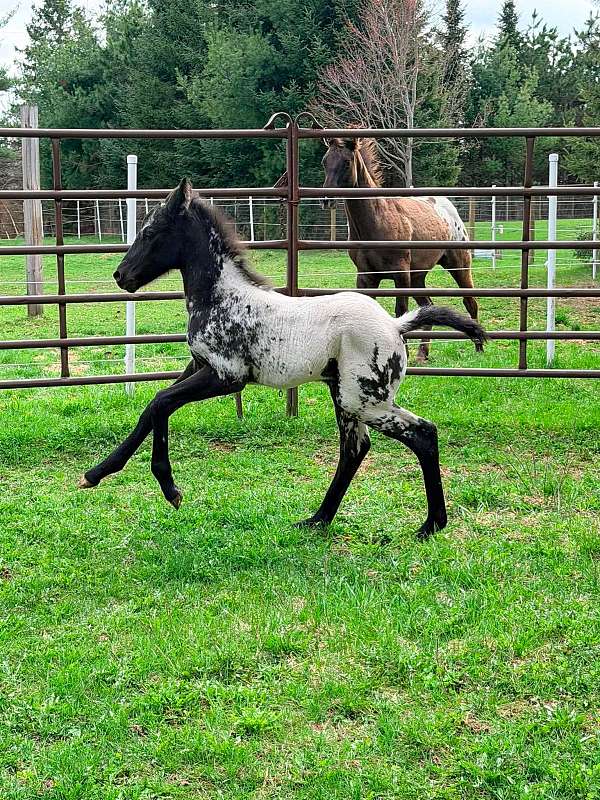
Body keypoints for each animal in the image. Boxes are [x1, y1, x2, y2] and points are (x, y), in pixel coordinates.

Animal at [79, 178, 486, 539]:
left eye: (150, 232)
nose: (121, 275)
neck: (222, 298)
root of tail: (395, 325)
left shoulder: (226, 376)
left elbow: (161, 403)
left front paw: (170, 489)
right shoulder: (198, 366)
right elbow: (151, 409)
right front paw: (96, 474)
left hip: (365, 400)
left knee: (422, 434)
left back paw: (430, 525)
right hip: (347, 397)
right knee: (355, 449)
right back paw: (317, 520)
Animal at [321, 136, 479, 362]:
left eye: (346, 162)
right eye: (325, 161)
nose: (326, 199)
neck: (377, 221)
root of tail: (449, 208)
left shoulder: (401, 274)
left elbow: (400, 310)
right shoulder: (366, 277)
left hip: (459, 265)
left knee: (470, 301)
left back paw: (479, 346)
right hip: (418, 277)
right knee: (427, 305)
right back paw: (422, 354)